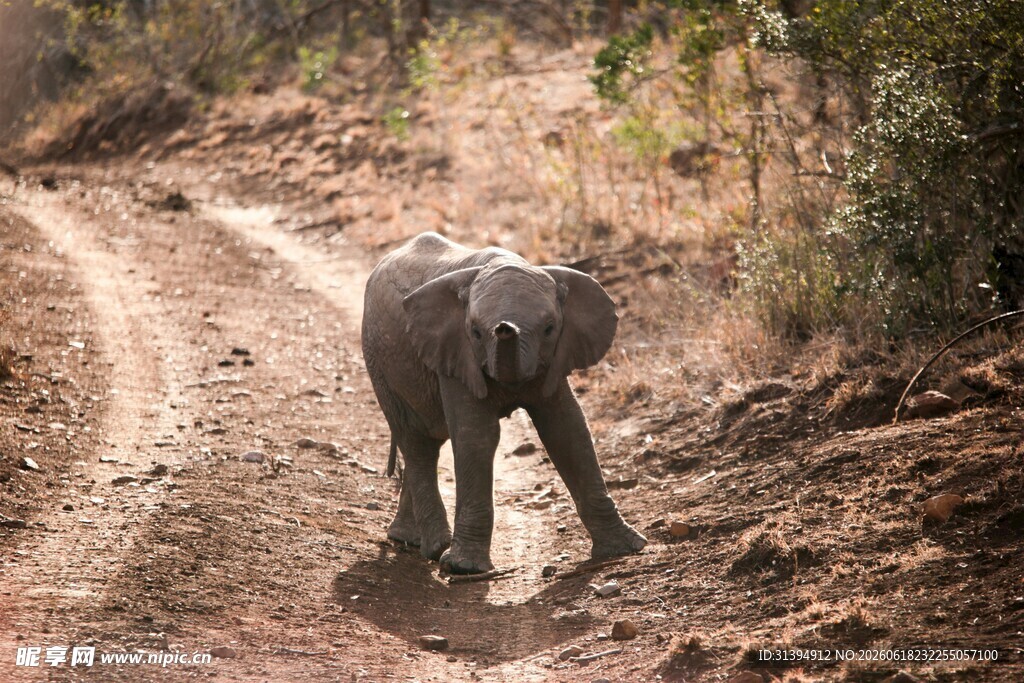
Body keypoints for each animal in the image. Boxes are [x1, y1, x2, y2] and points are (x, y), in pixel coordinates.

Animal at [361, 232, 647, 574]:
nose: (505, 327)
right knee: (417, 444)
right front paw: (464, 568)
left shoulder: (554, 357)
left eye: (549, 328)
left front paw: (626, 548)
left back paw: (410, 540)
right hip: (379, 364)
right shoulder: (456, 354)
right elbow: (477, 436)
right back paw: (435, 547)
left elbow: (567, 429)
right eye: (475, 332)